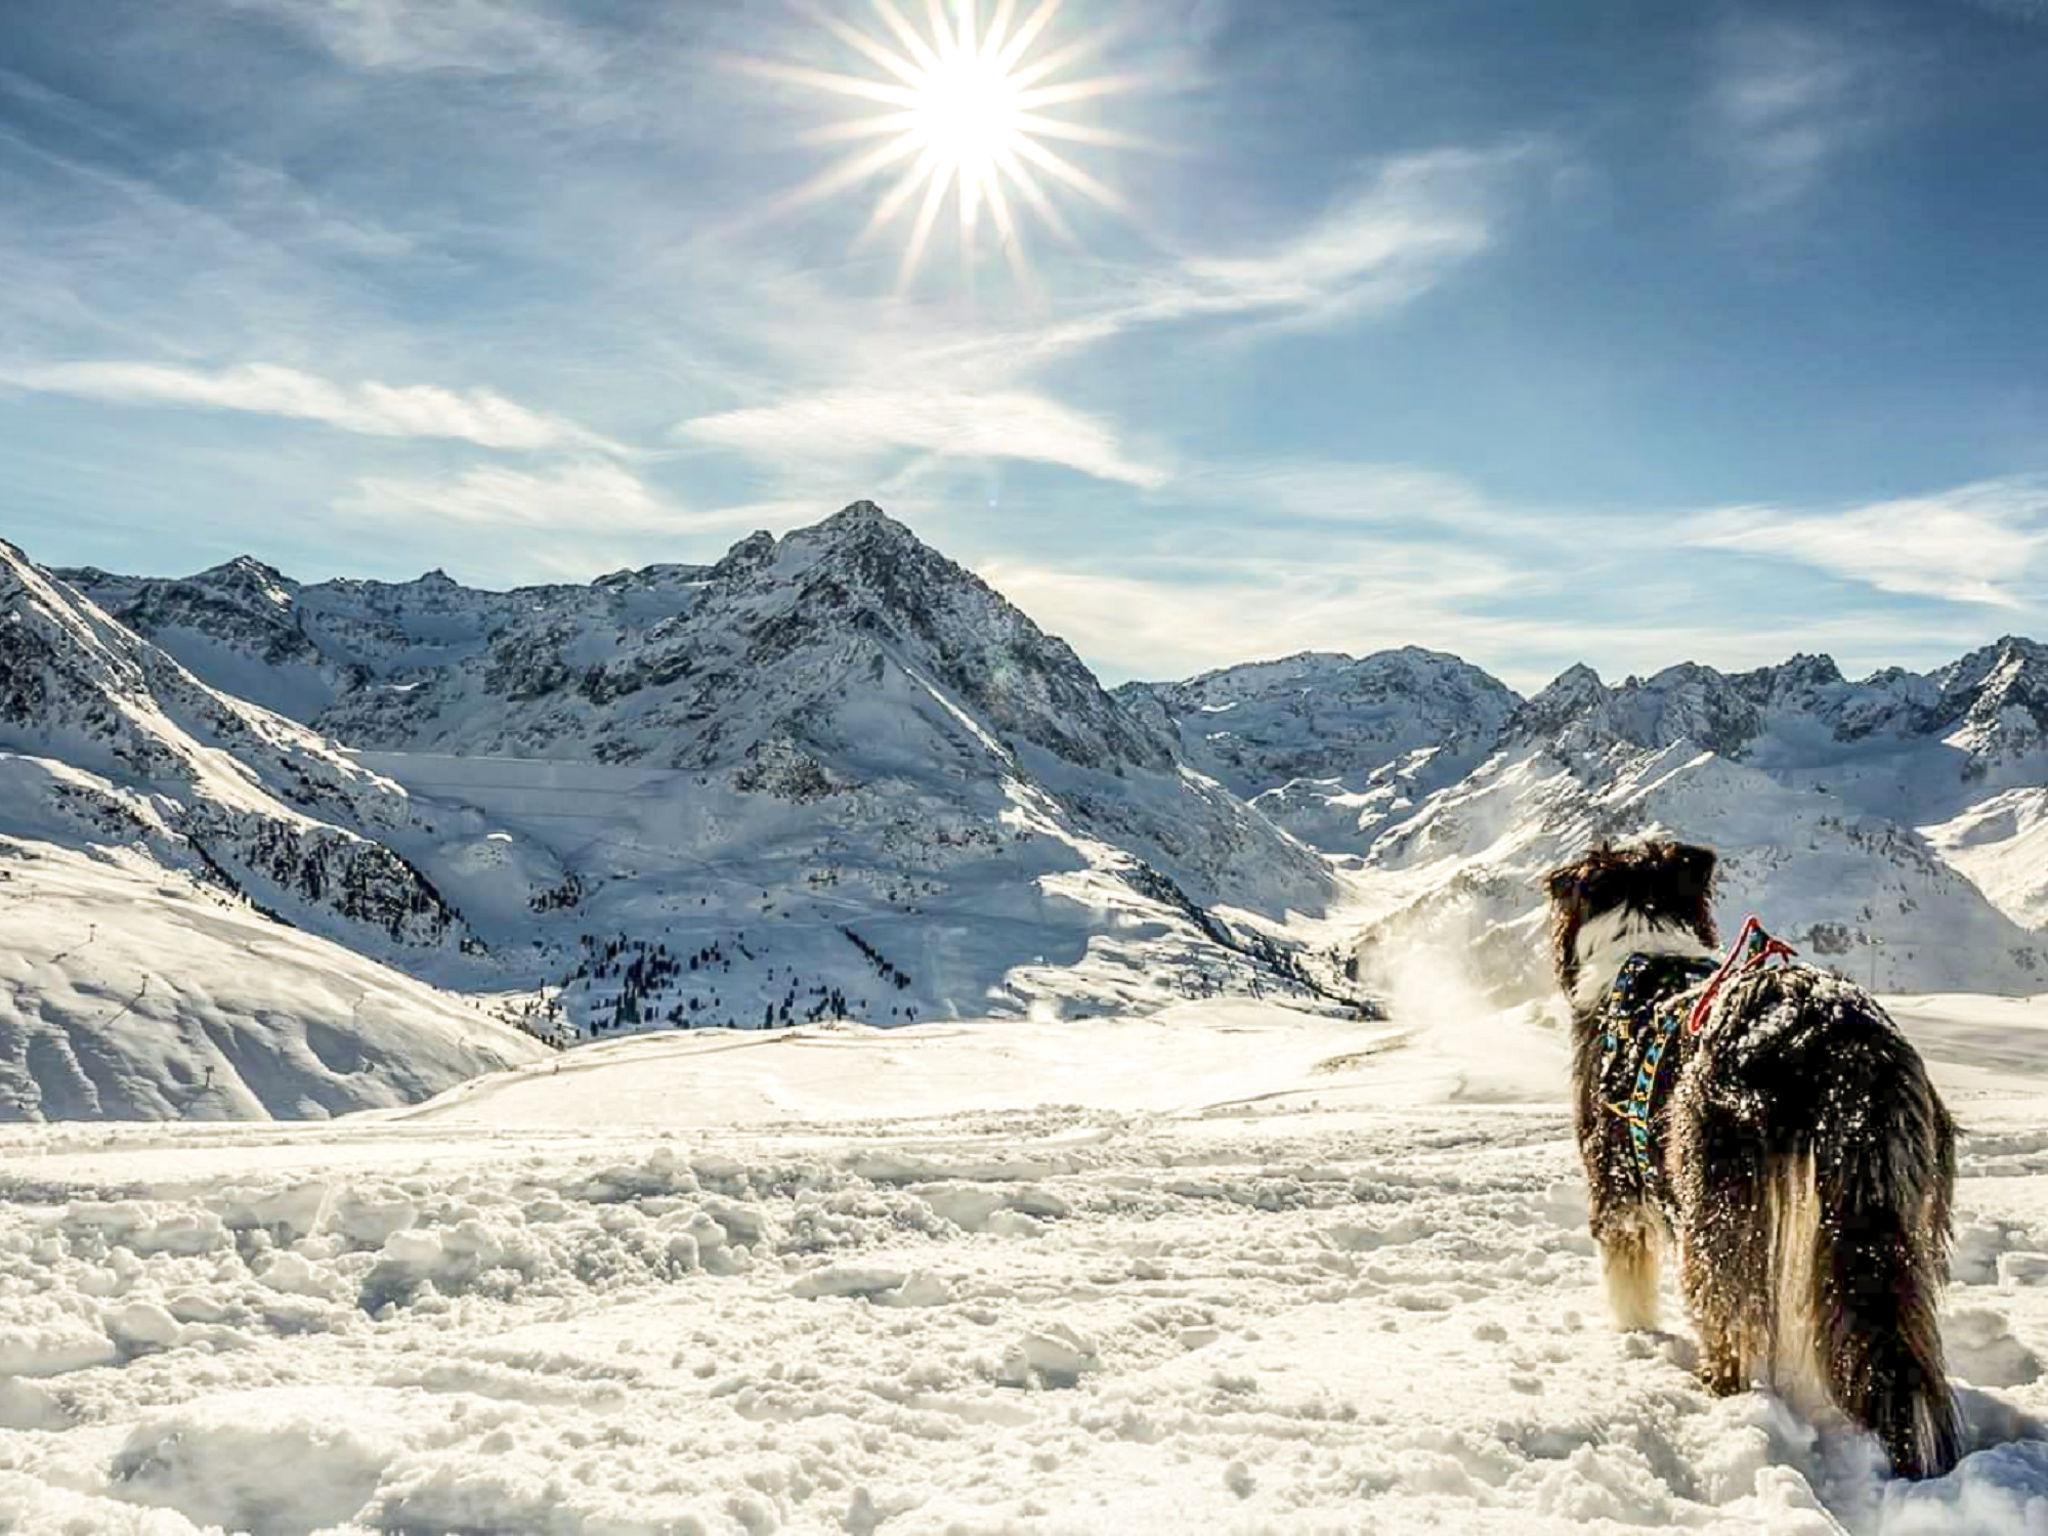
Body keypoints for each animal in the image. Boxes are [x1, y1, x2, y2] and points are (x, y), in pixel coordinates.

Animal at [1540, 835, 1957, 1482]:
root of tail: (1834, 1034)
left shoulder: (1615, 1184)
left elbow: (1626, 1275)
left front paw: (1635, 1336)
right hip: (1900, 1189)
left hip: (1718, 1195)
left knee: (1728, 1311)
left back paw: (1719, 1390)